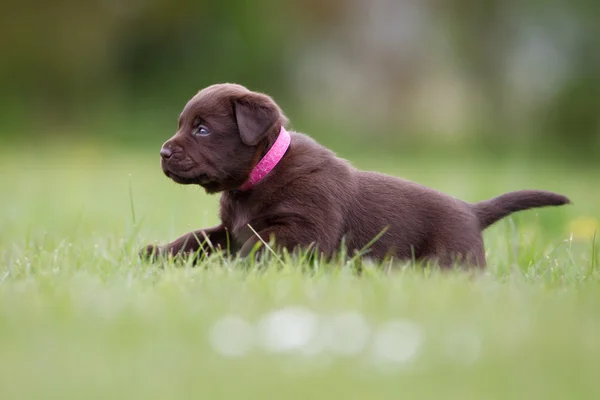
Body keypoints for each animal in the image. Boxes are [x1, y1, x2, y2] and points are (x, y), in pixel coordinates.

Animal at [142, 83, 572, 268]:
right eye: (182, 124)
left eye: (202, 129)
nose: (162, 152)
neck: (259, 177)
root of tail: (471, 210)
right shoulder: (231, 229)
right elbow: (197, 238)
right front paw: (159, 253)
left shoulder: (303, 230)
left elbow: (260, 248)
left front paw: (230, 268)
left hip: (449, 259)